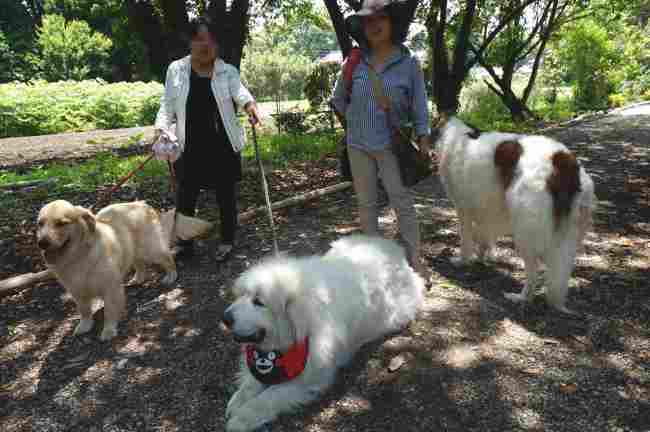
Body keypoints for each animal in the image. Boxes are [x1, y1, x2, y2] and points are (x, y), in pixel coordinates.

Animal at [37, 202, 213, 340]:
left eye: (61, 223)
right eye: (40, 224)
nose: (42, 243)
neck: (79, 256)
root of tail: (143, 204)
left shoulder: (110, 289)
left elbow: (109, 311)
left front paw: (108, 330)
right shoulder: (77, 291)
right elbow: (84, 311)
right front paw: (85, 325)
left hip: (151, 249)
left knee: (168, 259)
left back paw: (171, 276)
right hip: (133, 251)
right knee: (141, 266)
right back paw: (137, 279)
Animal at [223, 236, 426, 432]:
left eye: (258, 302)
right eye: (242, 295)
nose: (225, 318)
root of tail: (396, 250)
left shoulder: (309, 376)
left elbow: (270, 395)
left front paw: (242, 417)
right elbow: (251, 381)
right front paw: (238, 400)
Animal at [432, 116, 596, 316]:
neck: (456, 136)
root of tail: (562, 162)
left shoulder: (463, 209)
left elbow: (466, 241)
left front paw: (462, 261)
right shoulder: (487, 211)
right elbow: (484, 238)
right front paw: (482, 258)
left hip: (526, 231)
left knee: (533, 272)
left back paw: (521, 297)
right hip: (568, 236)